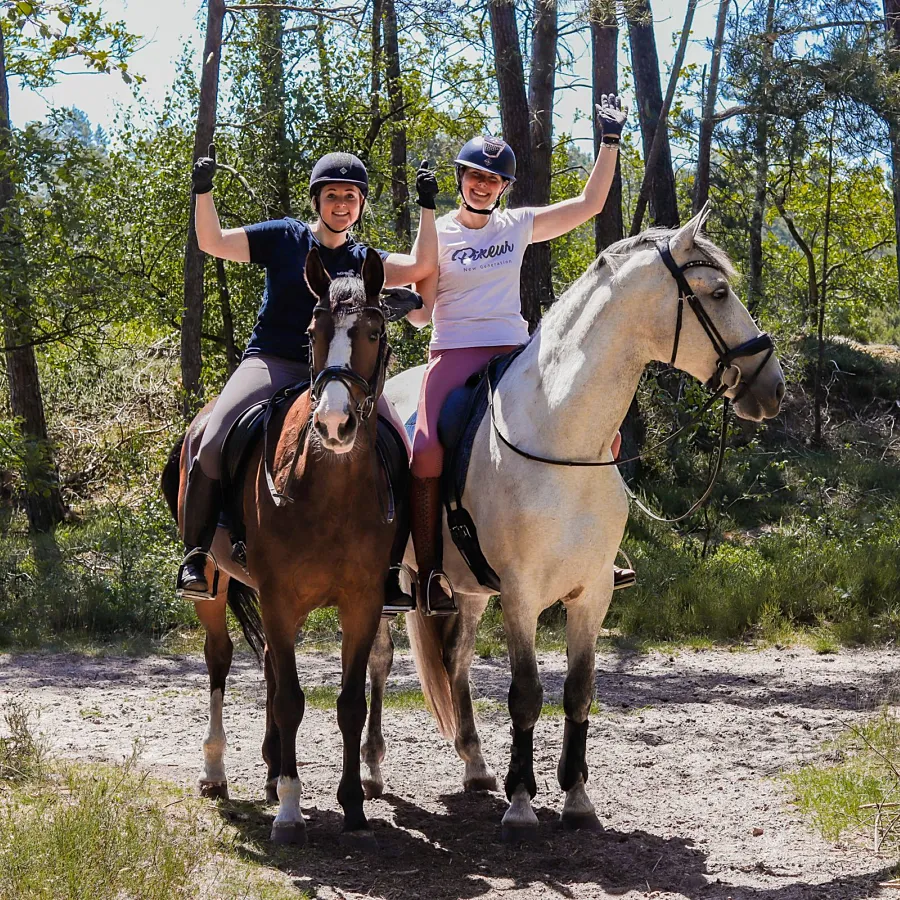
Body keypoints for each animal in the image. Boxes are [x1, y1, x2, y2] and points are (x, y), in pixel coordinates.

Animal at [163, 248, 400, 844]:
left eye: (372, 330)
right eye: (314, 332)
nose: (334, 424)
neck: (330, 489)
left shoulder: (361, 603)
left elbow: (349, 703)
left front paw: (352, 804)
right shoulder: (277, 596)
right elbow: (292, 700)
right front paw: (292, 810)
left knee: (270, 661)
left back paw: (271, 772)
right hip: (217, 588)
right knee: (221, 659)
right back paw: (217, 771)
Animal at [362, 214, 784, 840]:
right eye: (717, 293)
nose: (772, 386)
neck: (562, 438)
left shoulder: (593, 594)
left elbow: (580, 691)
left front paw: (577, 798)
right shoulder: (521, 597)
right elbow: (525, 694)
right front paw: (520, 802)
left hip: (466, 591)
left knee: (456, 659)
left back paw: (474, 764)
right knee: (379, 661)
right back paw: (371, 771)